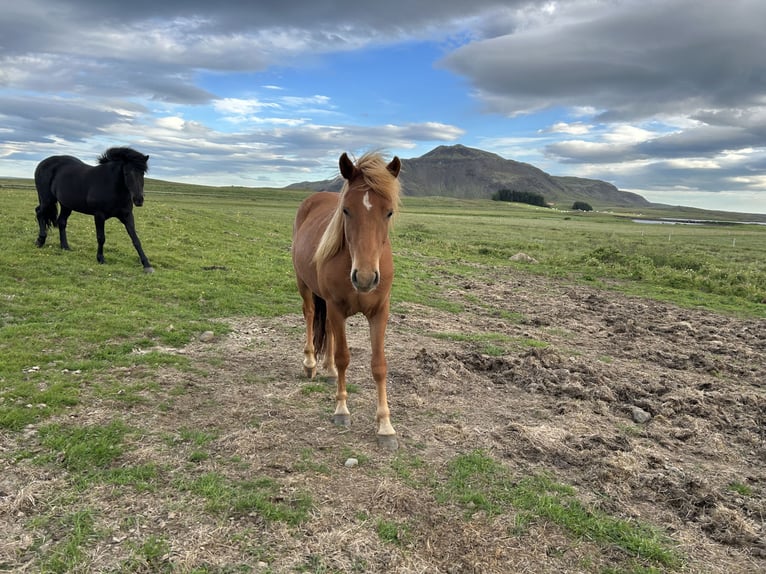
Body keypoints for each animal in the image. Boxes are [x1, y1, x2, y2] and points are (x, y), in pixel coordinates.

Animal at [292, 152, 402, 450]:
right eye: (346, 210)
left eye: (388, 212)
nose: (364, 278)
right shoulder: (336, 308)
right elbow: (343, 357)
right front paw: (341, 410)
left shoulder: (380, 312)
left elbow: (379, 365)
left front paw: (385, 426)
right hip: (305, 285)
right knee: (309, 315)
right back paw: (311, 364)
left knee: (328, 331)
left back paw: (328, 371)